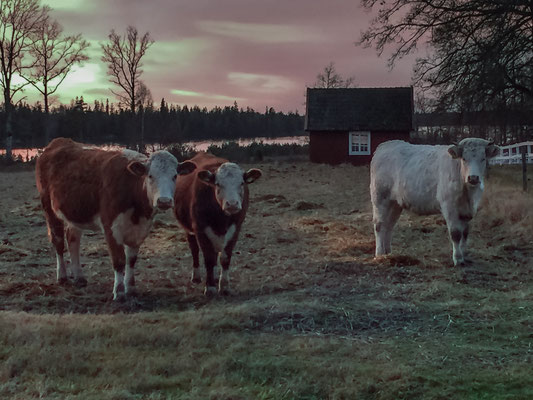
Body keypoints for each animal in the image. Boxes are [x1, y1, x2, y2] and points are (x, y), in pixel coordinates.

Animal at [36, 138, 196, 300]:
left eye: (175, 176)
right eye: (150, 176)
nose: (164, 201)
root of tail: (59, 141)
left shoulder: (139, 229)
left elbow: (131, 260)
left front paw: (131, 288)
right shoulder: (111, 227)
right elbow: (119, 260)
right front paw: (119, 292)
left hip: (75, 212)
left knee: (73, 240)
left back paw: (79, 277)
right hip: (49, 208)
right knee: (58, 242)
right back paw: (62, 276)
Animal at [174, 152, 260, 296]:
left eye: (241, 183)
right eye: (218, 184)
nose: (232, 204)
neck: (221, 219)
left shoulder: (235, 228)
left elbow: (225, 257)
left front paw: (224, 286)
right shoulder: (200, 229)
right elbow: (208, 258)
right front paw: (210, 288)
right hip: (189, 230)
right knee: (195, 250)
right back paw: (197, 277)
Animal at [370, 138, 498, 266]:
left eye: (483, 159)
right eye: (464, 159)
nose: (473, 178)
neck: (468, 193)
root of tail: (385, 145)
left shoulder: (468, 210)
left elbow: (465, 233)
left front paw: (464, 256)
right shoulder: (449, 205)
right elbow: (456, 233)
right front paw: (457, 259)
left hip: (395, 204)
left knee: (389, 225)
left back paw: (388, 253)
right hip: (379, 197)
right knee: (379, 224)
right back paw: (379, 254)